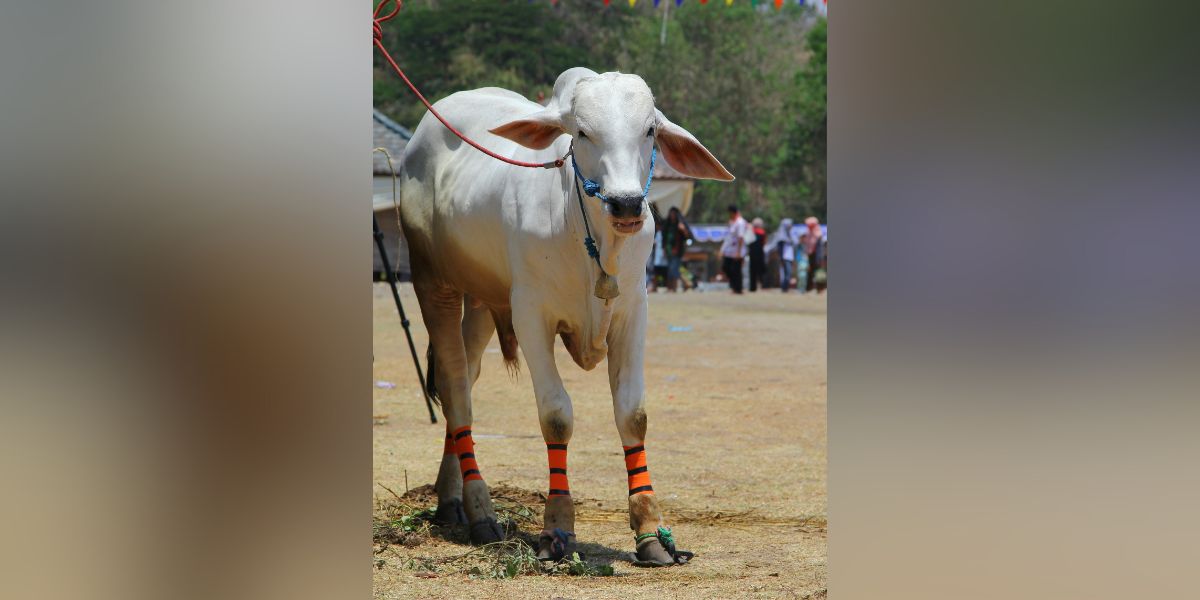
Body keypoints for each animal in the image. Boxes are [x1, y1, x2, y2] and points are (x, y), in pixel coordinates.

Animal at [397, 67, 733, 566]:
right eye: (583, 133)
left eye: (649, 131)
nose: (626, 204)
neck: (588, 235)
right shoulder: (530, 314)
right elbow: (556, 415)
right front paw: (557, 527)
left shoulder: (633, 310)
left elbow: (632, 414)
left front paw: (651, 531)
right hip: (433, 284)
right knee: (455, 388)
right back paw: (480, 510)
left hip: (479, 301)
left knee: (465, 381)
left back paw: (450, 498)